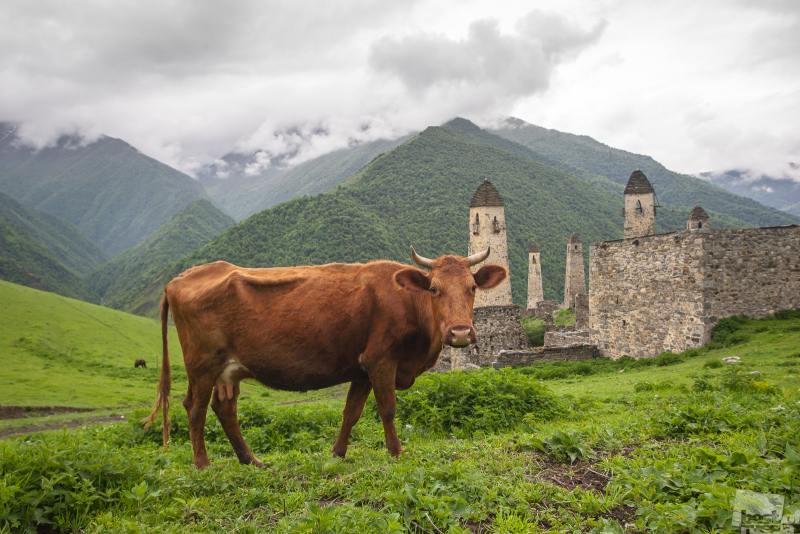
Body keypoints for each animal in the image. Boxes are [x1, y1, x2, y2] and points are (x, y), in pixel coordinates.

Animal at [142, 247, 506, 468]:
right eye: (434, 289)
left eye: (473, 288)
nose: (460, 333)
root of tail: (180, 278)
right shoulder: (381, 360)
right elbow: (387, 409)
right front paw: (396, 451)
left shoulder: (361, 368)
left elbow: (351, 412)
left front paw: (338, 453)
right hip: (202, 365)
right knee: (195, 408)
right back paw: (203, 464)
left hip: (227, 370)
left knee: (224, 408)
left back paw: (251, 461)